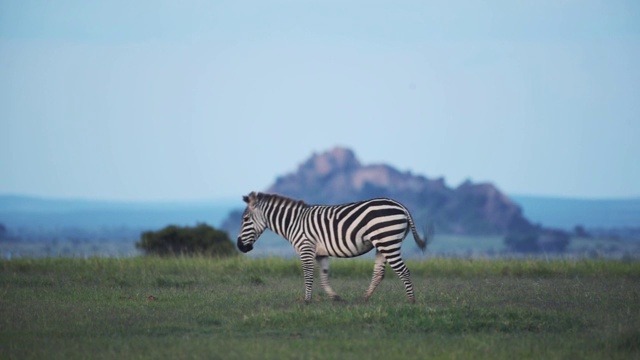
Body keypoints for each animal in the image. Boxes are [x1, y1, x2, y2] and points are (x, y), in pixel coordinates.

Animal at [236, 191, 430, 304]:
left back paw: (411, 301)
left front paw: (306, 300)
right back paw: (364, 299)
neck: (294, 223)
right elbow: (323, 277)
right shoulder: (321, 254)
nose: (240, 246)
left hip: (388, 242)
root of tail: (401, 206)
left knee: (403, 271)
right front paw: (334, 297)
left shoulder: (306, 248)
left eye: (245, 219)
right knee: (379, 273)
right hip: (382, 244)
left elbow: (308, 275)